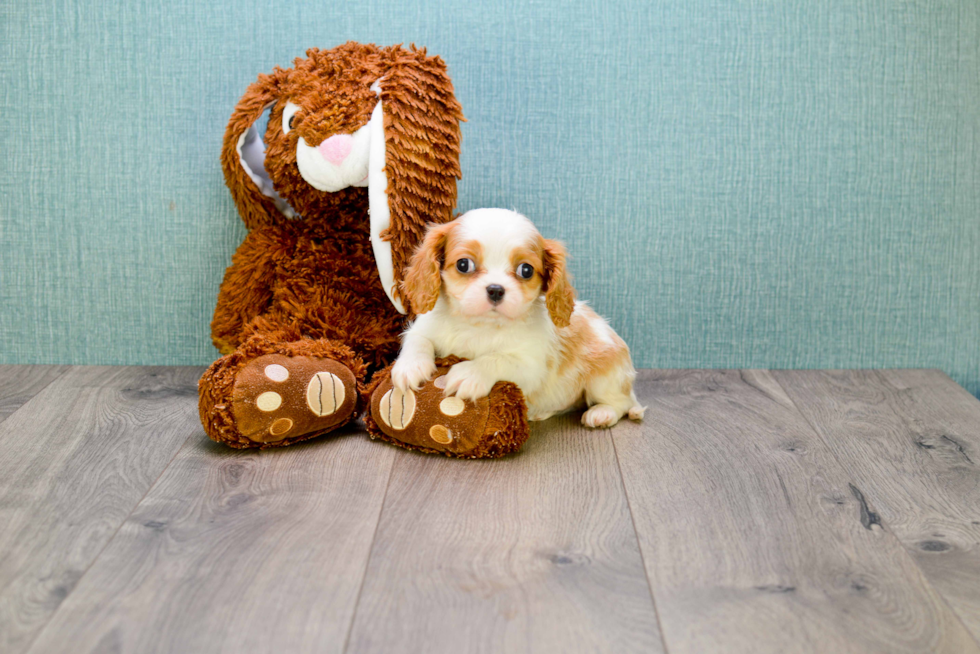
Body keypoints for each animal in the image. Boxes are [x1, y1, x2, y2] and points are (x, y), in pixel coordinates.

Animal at [390, 209, 644, 430]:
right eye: (464, 264)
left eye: (526, 270)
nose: (495, 289)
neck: (479, 325)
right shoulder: (422, 328)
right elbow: (417, 341)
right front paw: (410, 367)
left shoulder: (531, 366)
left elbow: (497, 359)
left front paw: (470, 373)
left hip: (604, 377)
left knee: (621, 403)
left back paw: (601, 413)